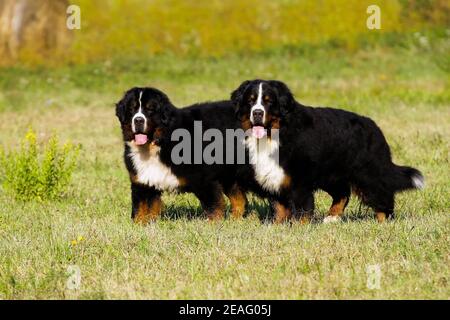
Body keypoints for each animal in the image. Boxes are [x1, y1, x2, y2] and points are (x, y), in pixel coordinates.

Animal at [114, 87, 248, 222]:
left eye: (150, 109)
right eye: (131, 109)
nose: (138, 120)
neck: (159, 143)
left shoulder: (204, 179)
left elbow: (213, 208)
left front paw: (214, 224)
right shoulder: (142, 182)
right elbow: (140, 210)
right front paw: (140, 224)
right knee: (239, 199)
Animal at [230, 79, 424, 222]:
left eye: (269, 101)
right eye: (250, 100)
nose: (257, 113)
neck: (275, 133)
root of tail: (374, 127)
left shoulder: (300, 180)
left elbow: (302, 208)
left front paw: (299, 228)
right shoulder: (275, 176)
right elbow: (279, 207)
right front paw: (277, 226)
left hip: (368, 174)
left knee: (383, 195)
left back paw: (383, 221)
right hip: (331, 174)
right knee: (343, 193)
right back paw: (332, 217)